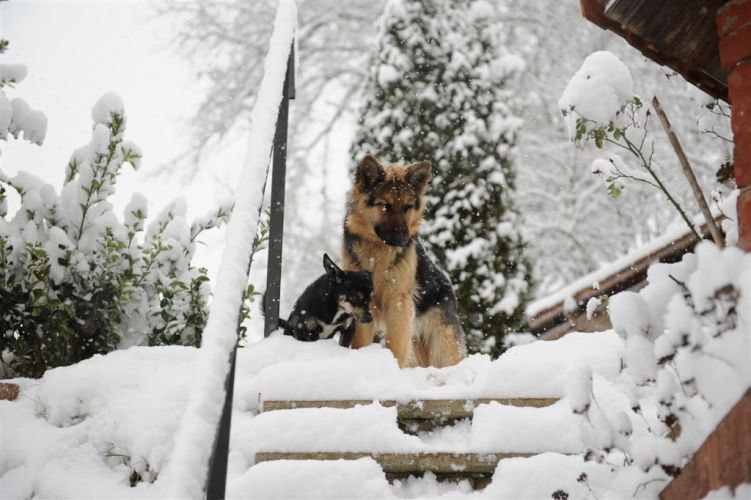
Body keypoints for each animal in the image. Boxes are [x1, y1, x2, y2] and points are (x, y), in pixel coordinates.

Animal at [342, 155, 470, 368]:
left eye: (407, 207)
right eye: (385, 205)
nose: (403, 239)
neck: (378, 254)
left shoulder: (398, 301)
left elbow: (394, 343)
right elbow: (361, 339)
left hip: (442, 344)